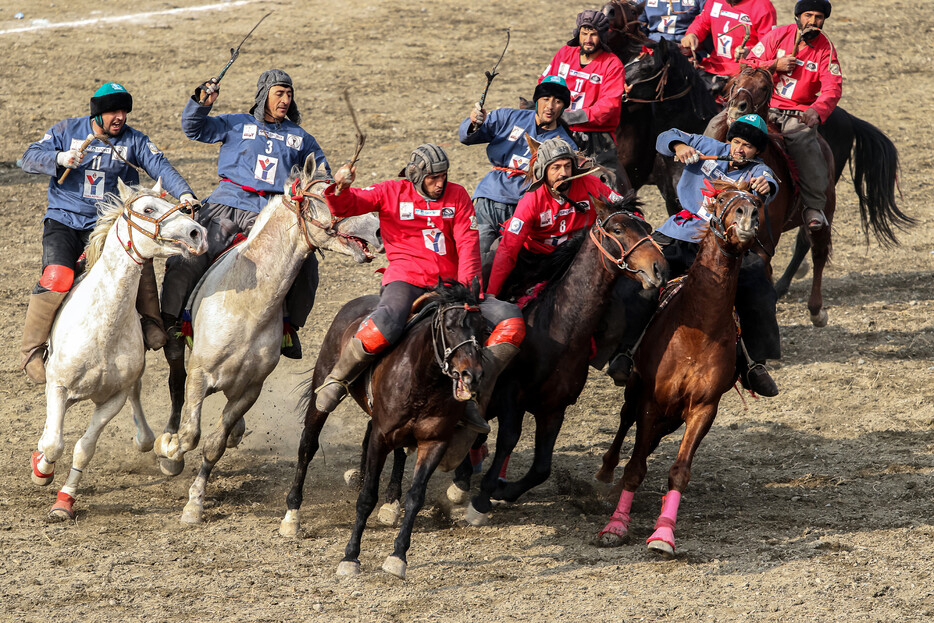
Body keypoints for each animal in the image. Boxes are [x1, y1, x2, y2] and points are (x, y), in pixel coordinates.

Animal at [33, 179, 210, 520]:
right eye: (148, 209)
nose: (197, 233)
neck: (102, 328)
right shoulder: (58, 386)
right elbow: (53, 444)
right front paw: (42, 470)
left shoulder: (112, 399)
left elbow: (83, 449)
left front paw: (64, 501)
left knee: (136, 398)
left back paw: (145, 438)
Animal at [155, 156, 382, 528]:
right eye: (333, 195)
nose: (377, 230)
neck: (249, 307)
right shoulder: (200, 376)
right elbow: (190, 434)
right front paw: (170, 453)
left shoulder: (250, 390)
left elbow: (214, 444)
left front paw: (195, 502)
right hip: (179, 353)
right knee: (176, 384)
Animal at [280, 280, 486, 584]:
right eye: (450, 327)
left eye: (483, 328)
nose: (473, 375)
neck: (423, 379)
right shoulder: (381, 437)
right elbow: (367, 497)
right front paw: (350, 557)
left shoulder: (434, 443)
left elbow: (416, 497)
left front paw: (397, 557)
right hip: (322, 390)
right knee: (308, 445)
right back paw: (292, 515)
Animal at [452, 195, 664, 528]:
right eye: (618, 229)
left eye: (647, 227)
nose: (659, 267)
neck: (558, 330)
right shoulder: (511, 396)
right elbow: (508, 439)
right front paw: (482, 499)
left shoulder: (554, 408)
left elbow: (542, 467)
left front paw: (502, 489)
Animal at [596, 179, 764, 556]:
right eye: (722, 199)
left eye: (757, 201)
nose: (747, 216)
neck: (697, 330)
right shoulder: (650, 401)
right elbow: (636, 467)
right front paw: (615, 525)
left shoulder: (703, 408)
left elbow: (679, 471)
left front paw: (663, 534)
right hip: (636, 393)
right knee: (624, 426)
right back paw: (606, 475)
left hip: (673, 416)